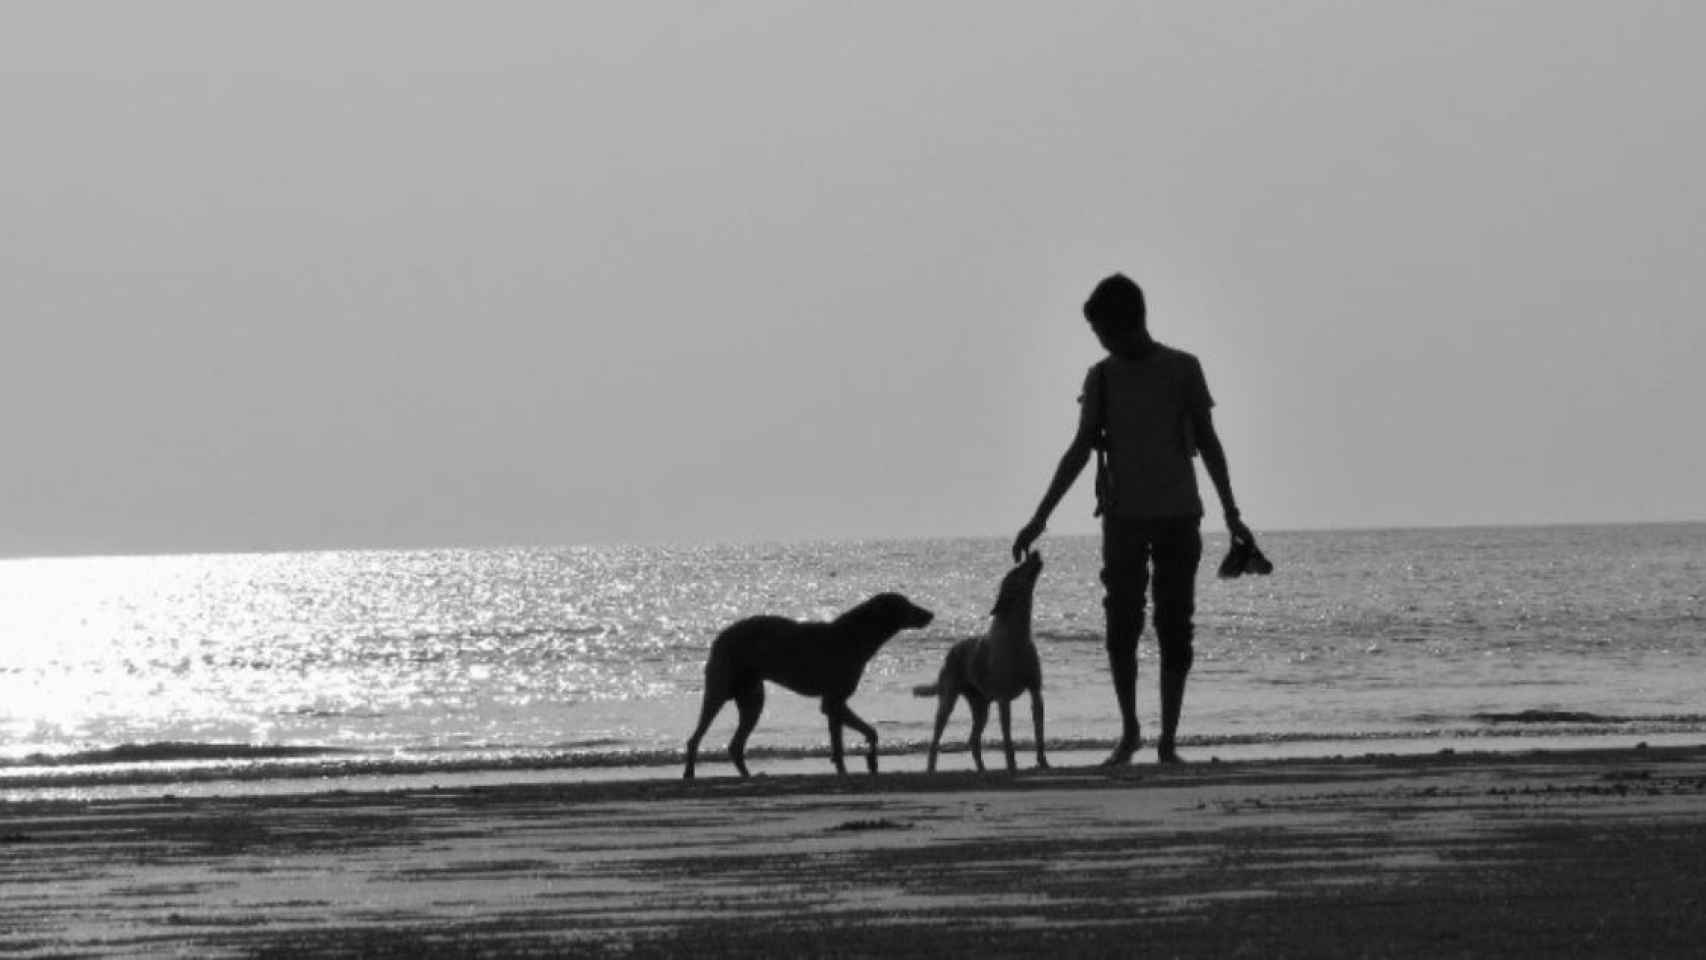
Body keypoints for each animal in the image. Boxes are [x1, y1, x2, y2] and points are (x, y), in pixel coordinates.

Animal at [682, 593, 934, 780]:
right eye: (906, 605)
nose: (931, 614)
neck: (855, 635)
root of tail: (719, 637)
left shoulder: (834, 703)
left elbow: (841, 741)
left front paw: (849, 764)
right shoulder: (833, 701)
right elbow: (868, 733)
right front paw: (868, 758)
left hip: (751, 696)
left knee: (735, 744)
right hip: (720, 689)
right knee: (697, 737)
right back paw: (690, 771)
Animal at [914, 549, 1044, 774]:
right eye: (1016, 571)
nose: (1034, 552)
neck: (1018, 634)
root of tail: (953, 650)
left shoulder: (1035, 690)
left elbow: (1039, 731)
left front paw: (1044, 762)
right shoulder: (1003, 698)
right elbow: (1008, 738)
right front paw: (1012, 766)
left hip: (981, 704)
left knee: (973, 739)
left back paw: (982, 768)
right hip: (949, 697)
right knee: (937, 735)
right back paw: (931, 767)